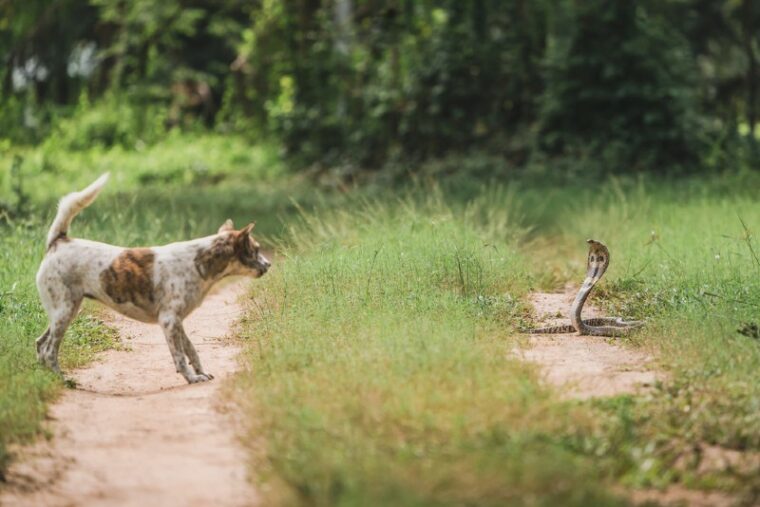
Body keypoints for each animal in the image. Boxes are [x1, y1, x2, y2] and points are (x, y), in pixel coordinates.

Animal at [37, 175, 274, 384]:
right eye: (256, 249)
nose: (270, 264)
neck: (198, 261)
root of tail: (59, 241)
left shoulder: (177, 322)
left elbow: (191, 351)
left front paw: (201, 373)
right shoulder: (169, 321)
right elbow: (179, 357)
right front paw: (191, 378)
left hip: (65, 312)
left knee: (40, 344)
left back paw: (46, 379)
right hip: (64, 312)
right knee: (49, 351)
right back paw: (63, 380)